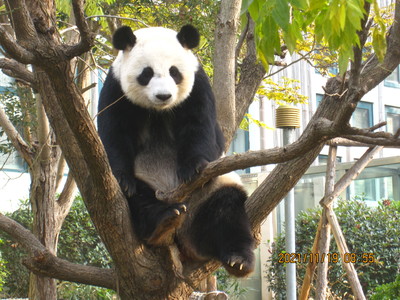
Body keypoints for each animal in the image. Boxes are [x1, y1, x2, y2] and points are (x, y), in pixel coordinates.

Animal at [98, 24, 255, 276]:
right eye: (147, 73)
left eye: (174, 72)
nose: (164, 96)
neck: (159, 111)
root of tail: (184, 240)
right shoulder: (115, 91)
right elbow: (114, 135)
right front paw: (122, 179)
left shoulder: (198, 87)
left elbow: (201, 129)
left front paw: (193, 169)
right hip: (150, 185)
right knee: (141, 201)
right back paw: (162, 220)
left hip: (210, 194)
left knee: (227, 209)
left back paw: (238, 260)